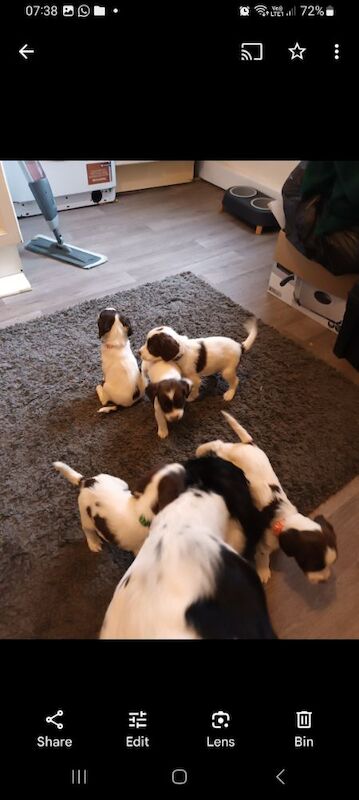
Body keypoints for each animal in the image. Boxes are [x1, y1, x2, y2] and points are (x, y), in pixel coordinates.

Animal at [53, 456, 186, 556]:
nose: (182, 465)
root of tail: (87, 481)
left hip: (117, 481)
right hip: (86, 514)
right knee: (87, 529)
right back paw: (94, 543)